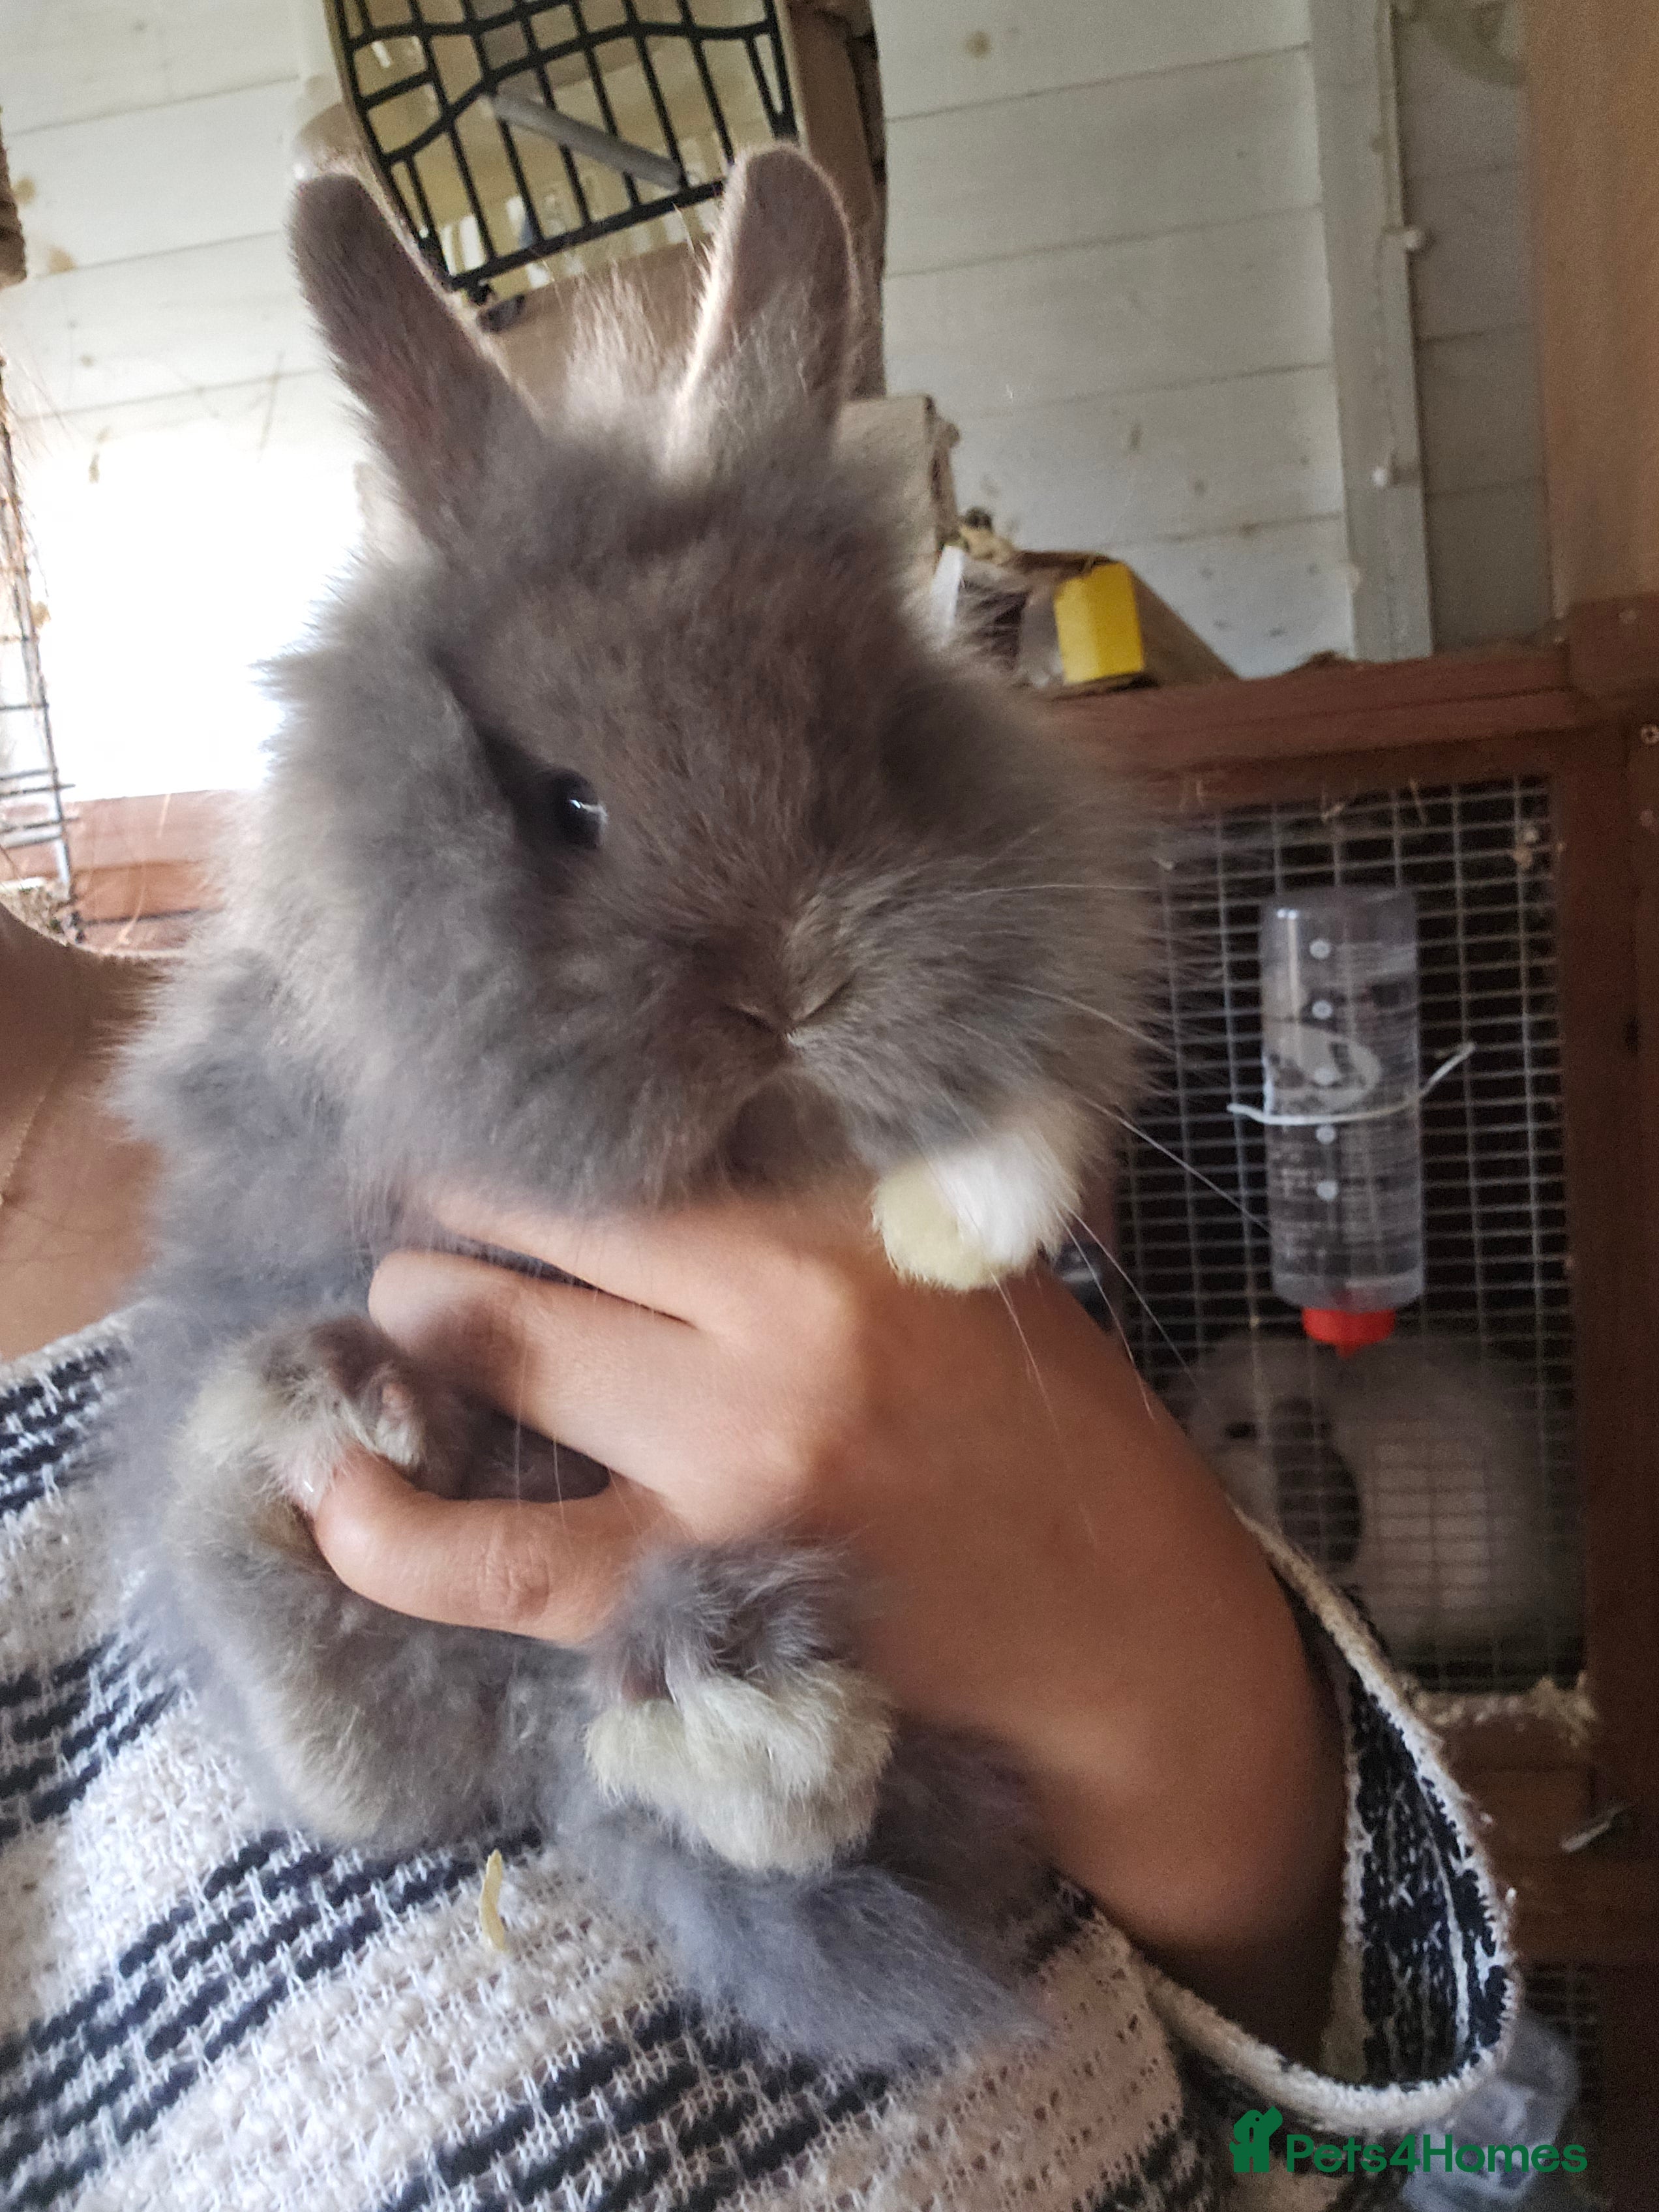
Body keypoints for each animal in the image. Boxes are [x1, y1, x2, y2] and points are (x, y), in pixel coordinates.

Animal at [114, 146, 1151, 2068]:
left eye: (864, 756)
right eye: (567, 806)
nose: (788, 998)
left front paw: (971, 1213)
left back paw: (745, 1728)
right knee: (355, 1747)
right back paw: (328, 1426)